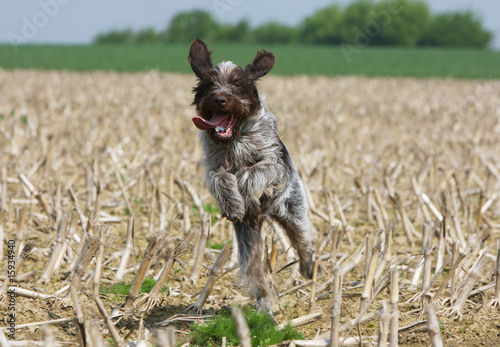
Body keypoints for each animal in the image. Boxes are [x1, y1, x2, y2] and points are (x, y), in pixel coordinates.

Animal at [189, 38, 314, 312]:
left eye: (237, 84)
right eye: (210, 84)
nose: (220, 99)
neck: (236, 139)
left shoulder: (275, 165)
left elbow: (252, 171)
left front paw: (246, 191)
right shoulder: (213, 168)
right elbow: (222, 179)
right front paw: (233, 203)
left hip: (294, 214)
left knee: (303, 243)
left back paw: (308, 270)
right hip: (248, 240)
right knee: (256, 271)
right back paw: (265, 301)